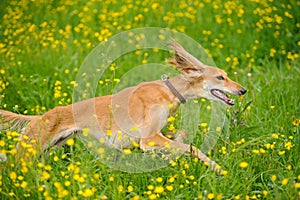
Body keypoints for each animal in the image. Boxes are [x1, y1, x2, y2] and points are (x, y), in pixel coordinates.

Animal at [0, 41, 246, 172]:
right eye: (220, 77)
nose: (243, 90)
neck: (169, 91)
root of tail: (38, 117)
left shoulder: (151, 136)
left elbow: (182, 135)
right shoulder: (148, 138)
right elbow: (192, 148)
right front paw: (218, 169)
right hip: (28, 151)